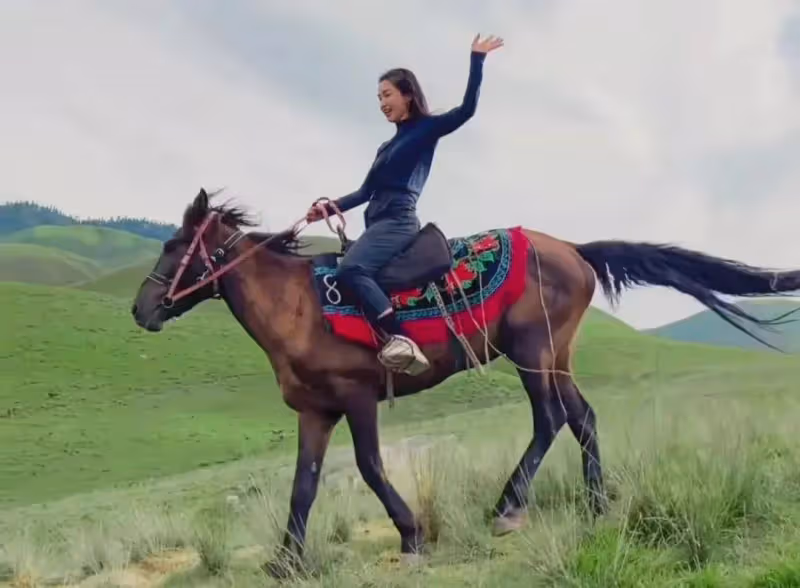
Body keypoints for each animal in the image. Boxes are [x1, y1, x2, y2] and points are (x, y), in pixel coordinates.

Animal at [131, 188, 800, 577]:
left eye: (174, 246)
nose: (141, 310)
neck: (296, 305)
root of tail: (574, 249)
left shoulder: (356, 397)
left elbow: (369, 467)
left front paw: (411, 535)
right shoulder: (315, 411)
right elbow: (304, 485)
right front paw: (285, 562)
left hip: (531, 352)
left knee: (550, 419)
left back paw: (509, 507)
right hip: (556, 356)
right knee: (582, 417)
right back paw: (596, 502)